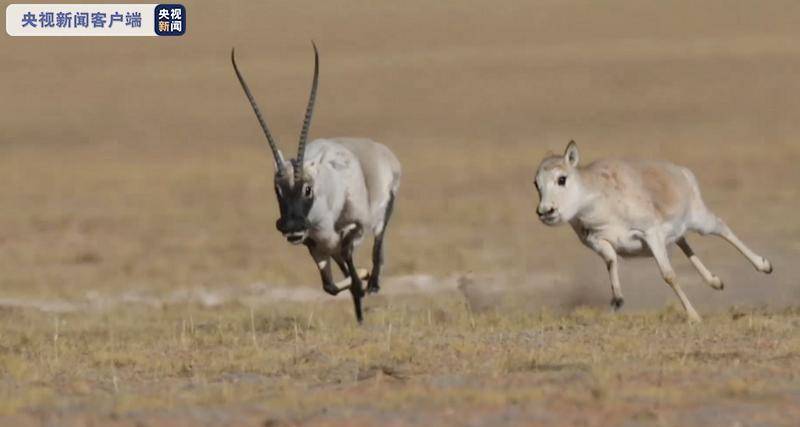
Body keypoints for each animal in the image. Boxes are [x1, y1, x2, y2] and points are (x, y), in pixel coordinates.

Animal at [536, 142, 772, 322]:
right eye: (536, 184)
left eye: (562, 178)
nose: (545, 211)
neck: (599, 201)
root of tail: (681, 172)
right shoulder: (598, 242)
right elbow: (611, 262)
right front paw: (617, 301)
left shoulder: (651, 234)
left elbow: (669, 275)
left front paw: (694, 316)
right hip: (676, 232)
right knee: (684, 242)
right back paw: (715, 281)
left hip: (700, 221)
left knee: (722, 227)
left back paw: (764, 265)